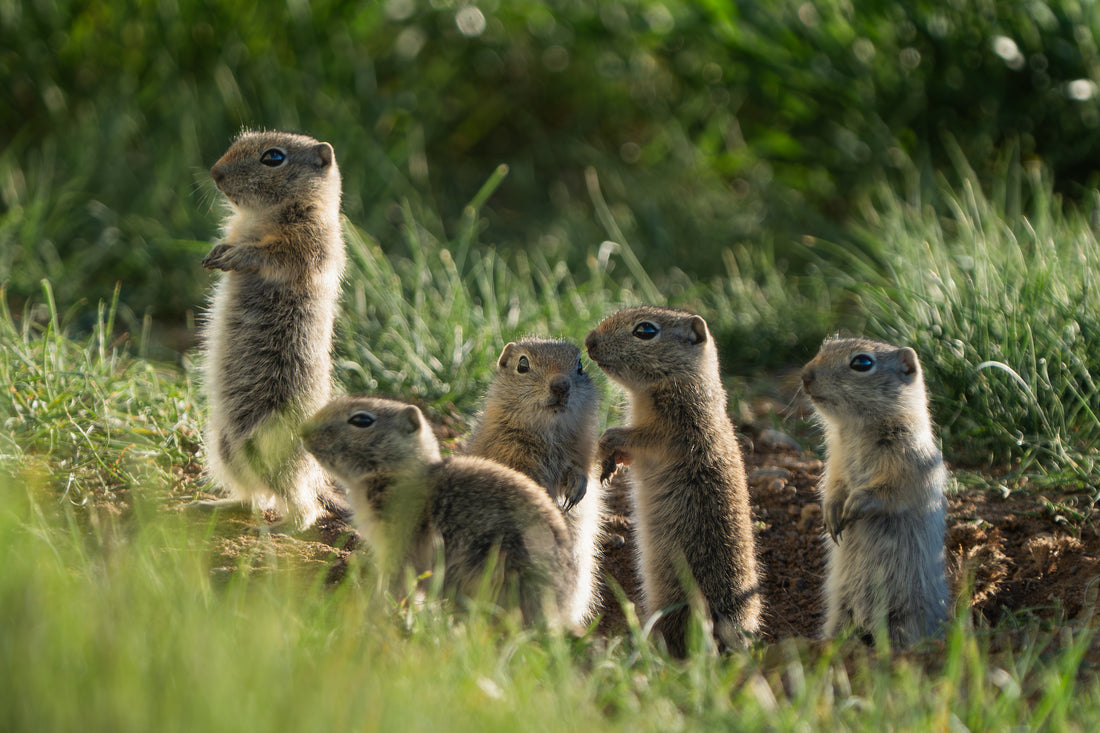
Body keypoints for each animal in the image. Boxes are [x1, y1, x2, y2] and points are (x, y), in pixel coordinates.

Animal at [198, 130, 347, 530]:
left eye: (273, 157)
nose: (215, 173)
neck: (260, 217)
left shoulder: (309, 243)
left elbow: (272, 255)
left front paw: (239, 256)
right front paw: (217, 251)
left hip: (269, 447)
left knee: (303, 507)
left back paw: (280, 527)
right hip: (227, 447)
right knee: (252, 495)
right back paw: (215, 507)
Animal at [301, 395, 576, 626]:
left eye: (362, 420)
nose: (303, 431)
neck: (400, 475)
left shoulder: (400, 548)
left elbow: (394, 583)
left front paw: (375, 610)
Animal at [465, 337, 604, 627]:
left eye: (580, 366)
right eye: (523, 365)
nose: (561, 385)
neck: (548, 431)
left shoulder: (582, 448)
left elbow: (581, 469)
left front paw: (574, 492)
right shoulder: (507, 448)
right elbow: (523, 473)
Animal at [585, 306, 762, 656]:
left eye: (646, 331)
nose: (589, 340)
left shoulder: (673, 429)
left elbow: (639, 437)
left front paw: (607, 439)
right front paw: (609, 463)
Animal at [801, 337, 949, 645]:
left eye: (862, 363)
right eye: (823, 348)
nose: (805, 376)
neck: (855, 429)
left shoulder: (909, 462)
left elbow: (890, 490)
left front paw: (855, 504)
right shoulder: (835, 462)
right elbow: (833, 485)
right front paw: (831, 514)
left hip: (906, 618)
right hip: (840, 611)